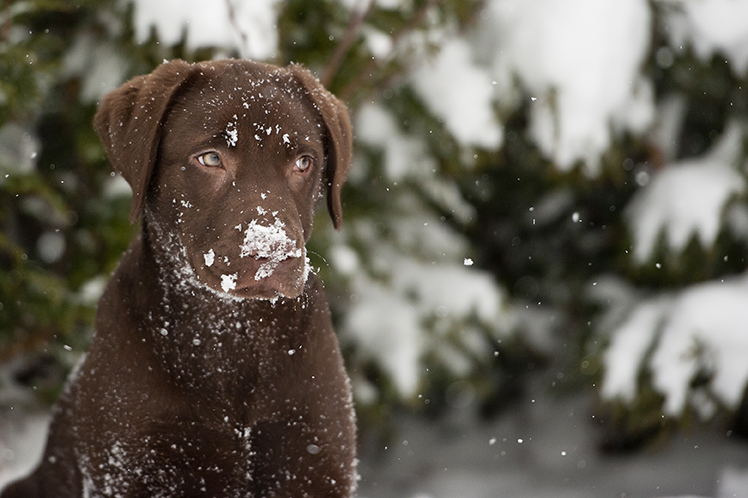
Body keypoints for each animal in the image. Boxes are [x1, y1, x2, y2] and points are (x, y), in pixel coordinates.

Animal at [0, 59, 356, 498]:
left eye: (304, 163)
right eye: (210, 158)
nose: (273, 252)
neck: (229, 335)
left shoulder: (315, 456)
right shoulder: (130, 466)